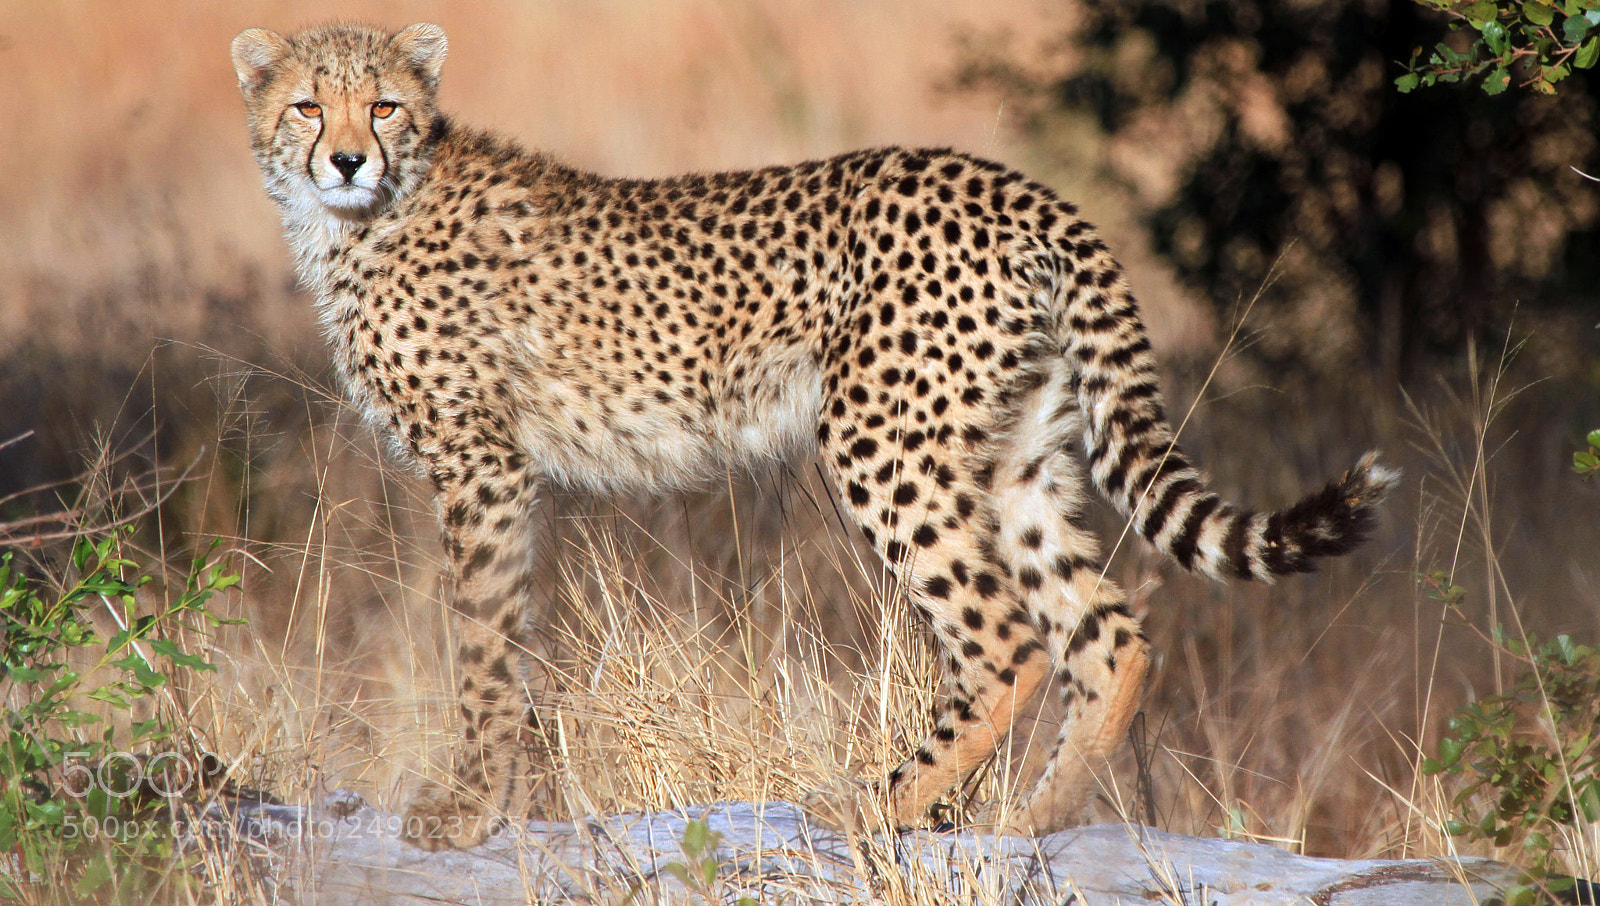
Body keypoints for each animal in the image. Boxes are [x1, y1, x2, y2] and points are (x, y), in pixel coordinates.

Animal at [230, 21, 1397, 850]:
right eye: (307, 105)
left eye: (384, 105)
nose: (346, 160)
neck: (367, 217)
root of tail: (1014, 182)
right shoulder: (499, 472)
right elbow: (506, 640)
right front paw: (506, 804)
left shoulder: (481, 466)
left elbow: (478, 640)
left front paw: (465, 812)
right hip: (1016, 451)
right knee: (1105, 632)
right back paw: (1036, 820)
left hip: (881, 440)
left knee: (1006, 642)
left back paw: (872, 807)